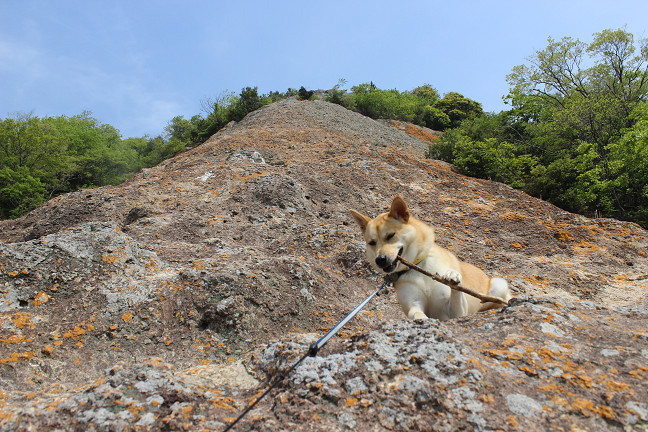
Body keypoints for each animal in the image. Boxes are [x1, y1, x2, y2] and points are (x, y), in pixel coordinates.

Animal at [350, 197, 512, 320]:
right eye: (372, 243)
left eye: (390, 236)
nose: (380, 260)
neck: (418, 268)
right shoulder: (413, 304)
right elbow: (416, 313)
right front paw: (421, 319)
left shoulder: (456, 312)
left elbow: (456, 295)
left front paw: (453, 277)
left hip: (499, 283)